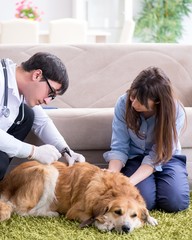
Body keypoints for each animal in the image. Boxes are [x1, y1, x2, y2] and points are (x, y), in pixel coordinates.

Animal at [0, 161, 158, 232]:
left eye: (134, 215)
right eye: (117, 212)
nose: (126, 228)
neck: (111, 190)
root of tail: (6, 180)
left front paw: (151, 218)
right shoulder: (74, 212)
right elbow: (90, 217)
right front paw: (103, 223)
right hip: (47, 170)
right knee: (21, 209)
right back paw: (51, 214)